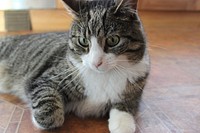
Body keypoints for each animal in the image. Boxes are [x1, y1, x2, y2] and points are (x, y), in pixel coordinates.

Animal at [0, 0, 149, 133]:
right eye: (83, 41)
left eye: (113, 40)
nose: (96, 62)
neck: (103, 75)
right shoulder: (48, 77)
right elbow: (48, 105)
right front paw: (44, 118)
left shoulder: (136, 86)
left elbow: (126, 105)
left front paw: (122, 124)